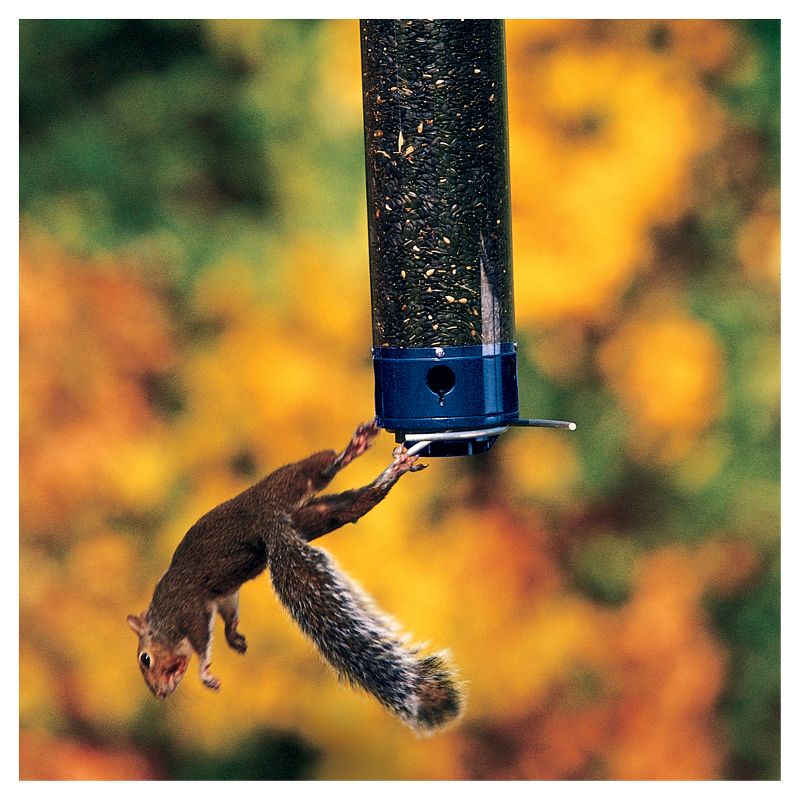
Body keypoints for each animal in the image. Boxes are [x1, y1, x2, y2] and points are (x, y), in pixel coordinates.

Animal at [127, 419, 464, 732]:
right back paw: (389, 475)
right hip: (315, 516)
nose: (159, 693)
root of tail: (271, 521)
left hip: (286, 484)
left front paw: (205, 671)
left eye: (145, 659)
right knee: (355, 503)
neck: (162, 618)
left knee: (322, 469)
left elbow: (201, 639)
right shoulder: (223, 595)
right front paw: (233, 637)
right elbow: (230, 611)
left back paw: (353, 449)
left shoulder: (187, 607)